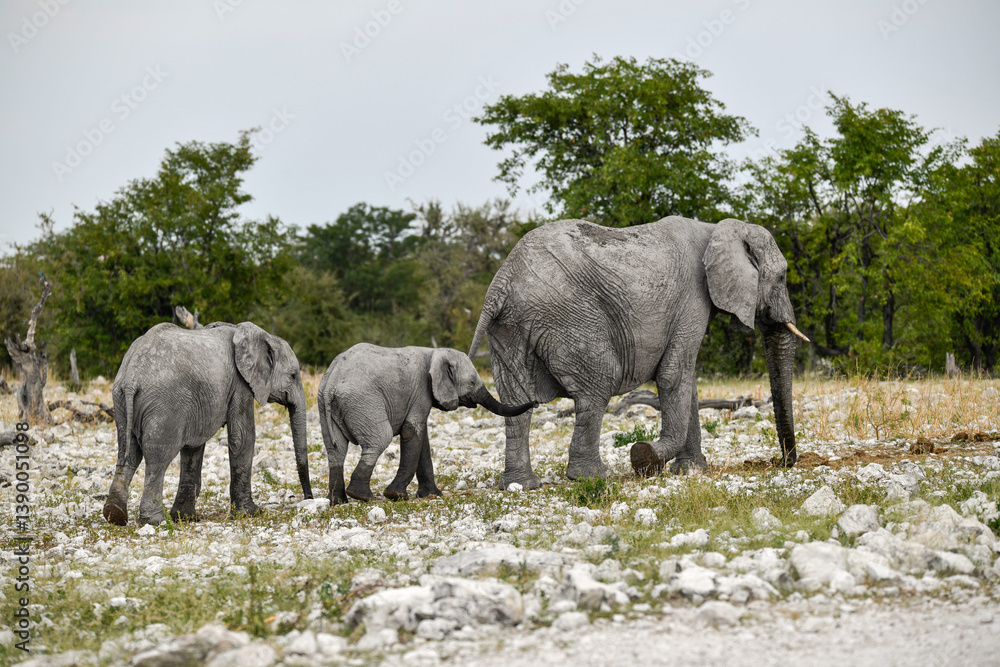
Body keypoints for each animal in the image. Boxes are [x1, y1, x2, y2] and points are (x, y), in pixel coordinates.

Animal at [102, 321, 313, 526]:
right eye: (293, 375)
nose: (308, 498)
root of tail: (131, 377)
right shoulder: (240, 384)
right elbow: (242, 437)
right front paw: (251, 513)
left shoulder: (198, 405)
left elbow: (193, 447)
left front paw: (185, 517)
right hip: (164, 405)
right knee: (157, 459)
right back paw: (154, 520)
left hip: (121, 401)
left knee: (128, 452)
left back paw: (115, 515)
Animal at [317, 344, 536, 504]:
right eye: (473, 383)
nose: (534, 401)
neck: (435, 352)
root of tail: (331, 383)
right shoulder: (421, 390)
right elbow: (411, 432)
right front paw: (396, 496)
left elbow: (422, 440)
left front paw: (432, 495)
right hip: (362, 402)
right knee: (379, 439)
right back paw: (362, 496)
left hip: (328, 406)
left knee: (336, 450)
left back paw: (338, 501)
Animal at [468, 217, 809, 489]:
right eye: (781, 277)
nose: (785, 462)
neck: (717, 228)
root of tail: (502, 281)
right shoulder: (692, 300)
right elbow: (674, 374)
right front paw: (645, 457)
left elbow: (687, 382)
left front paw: (691, 470)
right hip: (569, 318)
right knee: (597, 387)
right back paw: (592, 477)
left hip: (509, 328)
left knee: (517, 402)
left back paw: (521, 485)